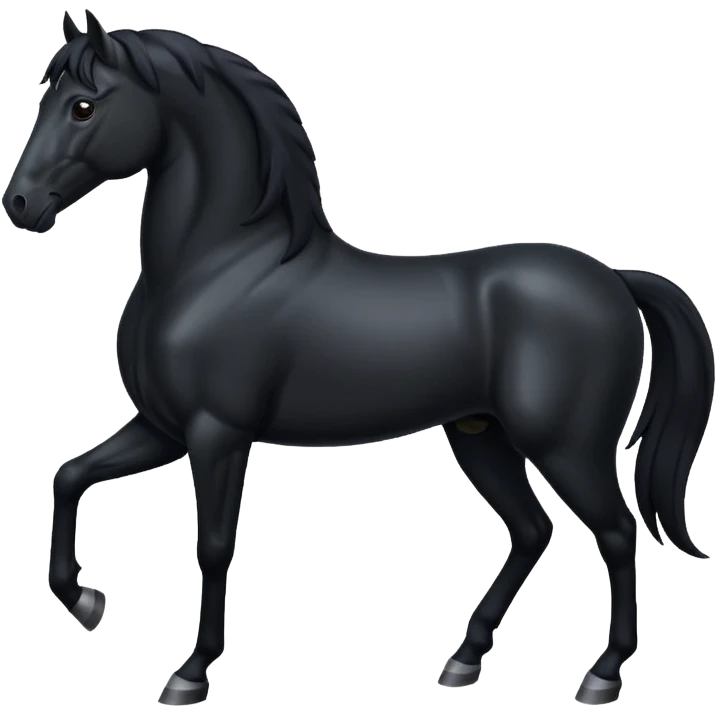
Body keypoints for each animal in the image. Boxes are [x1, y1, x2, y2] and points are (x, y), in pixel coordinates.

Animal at [4, 10, 712, 707]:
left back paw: (601, 675)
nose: (20, 204)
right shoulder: (162, 428)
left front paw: (190, 674)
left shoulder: (217, 435)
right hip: (481, 436)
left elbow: (214, 546)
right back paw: (463, 661)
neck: (219, 267)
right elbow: (69, 476)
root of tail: (614, 278)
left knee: (617, 534)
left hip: (568, 447)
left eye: (84, 106)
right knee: (533, 531)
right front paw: (87, 602)